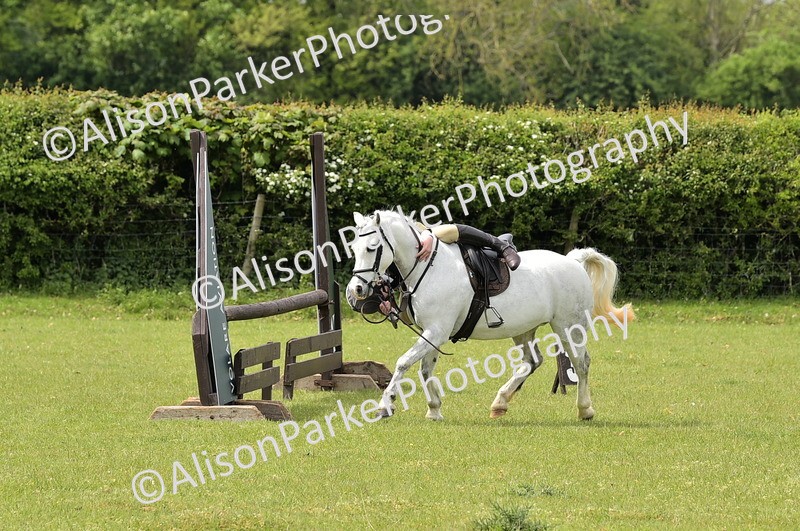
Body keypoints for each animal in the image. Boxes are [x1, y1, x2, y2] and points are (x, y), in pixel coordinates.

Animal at [345, 210, 634, 421]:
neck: (427, 266)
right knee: (532, 362)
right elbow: (425, 370)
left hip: (568, 326)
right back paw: (500, 402)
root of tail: (574, 262)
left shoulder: (436, 331)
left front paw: (386, 404)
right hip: (524, 329)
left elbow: (404, 363)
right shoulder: (431, 334)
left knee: (581, 363)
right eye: (353, 248)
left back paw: (585, 409)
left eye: (372, 248)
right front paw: (434, 409)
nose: (356, 290)